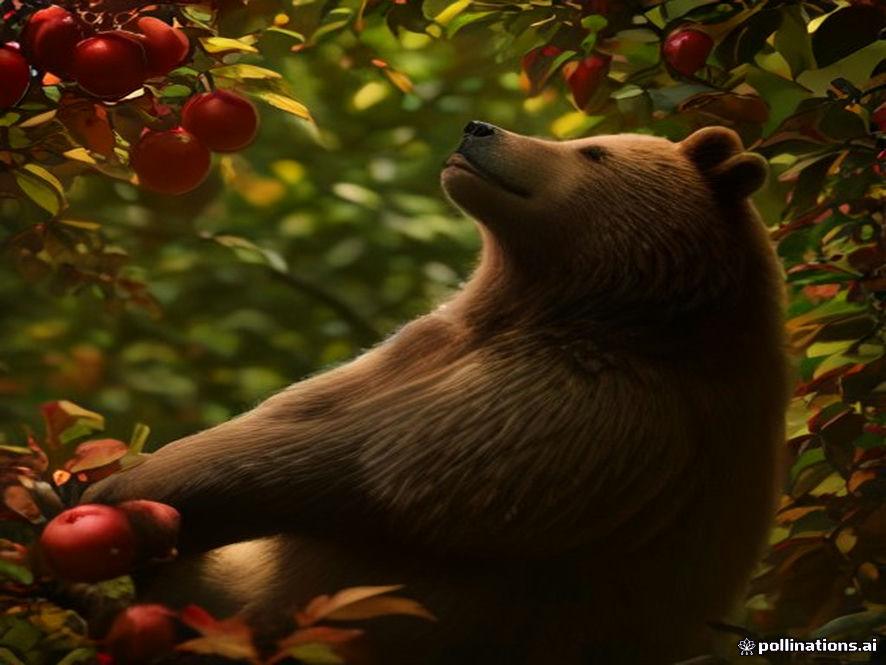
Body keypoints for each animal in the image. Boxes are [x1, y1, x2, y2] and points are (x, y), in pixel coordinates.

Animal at [84, 122, 791, 665]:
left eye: (594, 151)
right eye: (581, 139)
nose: (479, 129)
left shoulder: (594, 404)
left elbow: (375, 469)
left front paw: (124, 494)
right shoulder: (422, 348)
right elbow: (298, 411)